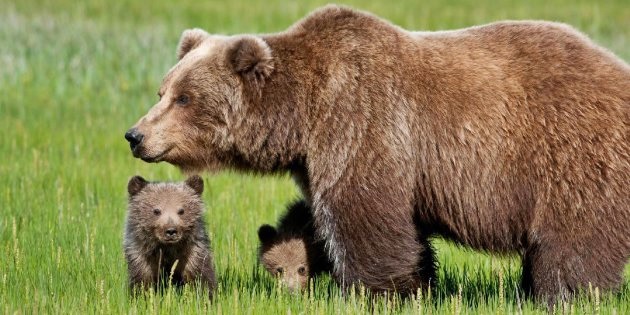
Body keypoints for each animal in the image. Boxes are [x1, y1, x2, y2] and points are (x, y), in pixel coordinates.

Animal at [124, 4, 630, 304]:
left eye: (185, 98)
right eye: (163, 90)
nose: (135, 135)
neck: (303, 115)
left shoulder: (363, 121)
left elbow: (364, 215)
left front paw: (376, 291)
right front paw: (420, 284)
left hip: (570, 154)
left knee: (574, 238)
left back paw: (563, 294)